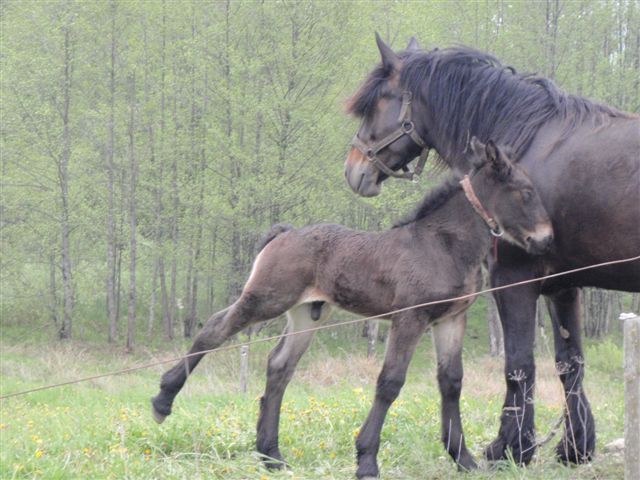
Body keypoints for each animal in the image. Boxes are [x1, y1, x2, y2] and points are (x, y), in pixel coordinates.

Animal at [152, 140, 552, 476]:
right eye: (526, 192)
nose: (546, 239)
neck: (442, 244)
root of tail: (284, 233)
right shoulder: (410, 318)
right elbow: (390, 383)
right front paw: (366, 460)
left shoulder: (451, 318)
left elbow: (451, 382)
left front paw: (464, 459)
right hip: (267, 298)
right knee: (215, 328)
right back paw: (163, 401)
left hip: (307, 313)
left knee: (280, 367)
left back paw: (271, 455)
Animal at [348, 34, 636, 468]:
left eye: (377, 102)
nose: (354, 172)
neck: (528, 139)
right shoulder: (562, 285)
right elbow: (570, 363)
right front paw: (574, 448)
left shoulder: (513, 279)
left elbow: (518, 364)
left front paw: (511, 447)